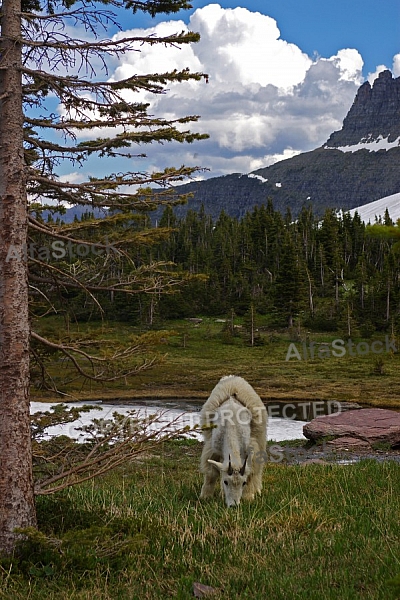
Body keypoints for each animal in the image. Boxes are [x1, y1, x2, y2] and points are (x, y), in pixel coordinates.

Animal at [199, 376, 268, 506]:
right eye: (226, 482)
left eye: (243, 483)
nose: (233, 505)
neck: (231, 426)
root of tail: (233, 377)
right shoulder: (214, 449)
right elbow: (212, 473)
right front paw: (205, 496)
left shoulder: (250, 448)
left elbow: (251, 472)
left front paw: (248, 497)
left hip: (260, 437)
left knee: (258, 469)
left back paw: (257, 489)